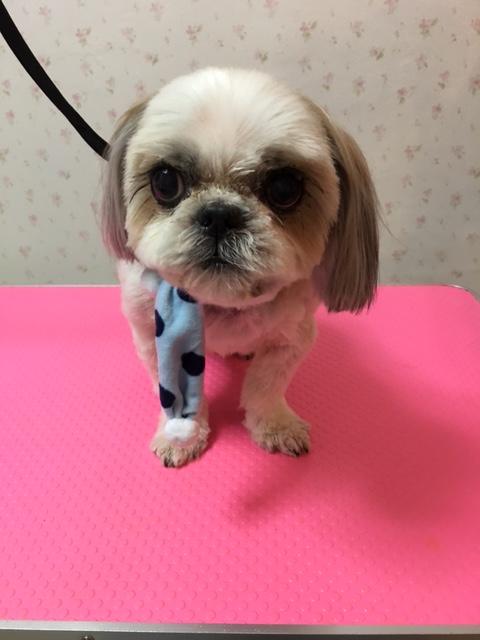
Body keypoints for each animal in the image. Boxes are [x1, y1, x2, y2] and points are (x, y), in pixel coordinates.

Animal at [101, 67, 379, 467]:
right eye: (166, 181)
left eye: (284, 187)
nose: (219, 215)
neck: (221, 304)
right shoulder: (151, 333)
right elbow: (171, 392)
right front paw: (179, 436)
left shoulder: (294, 336)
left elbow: (267, 385)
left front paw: (276, 426)